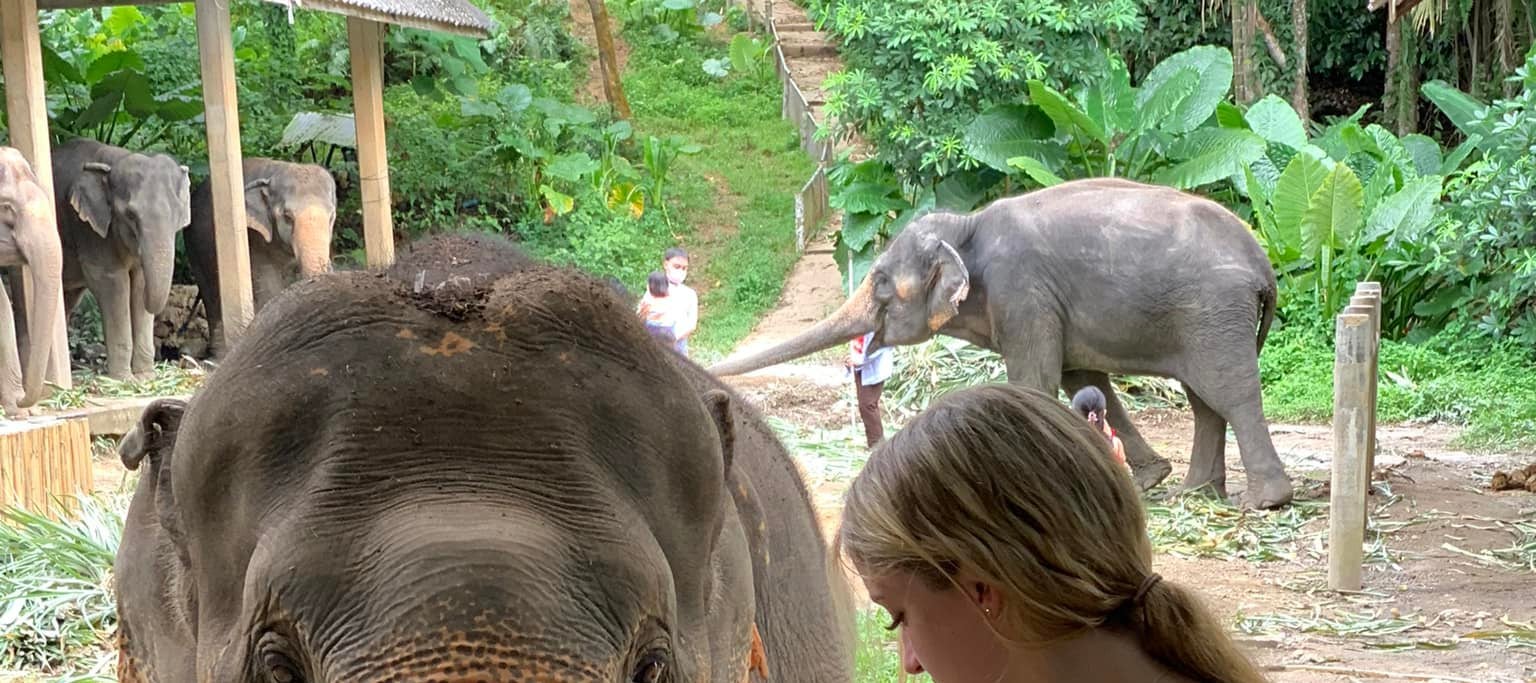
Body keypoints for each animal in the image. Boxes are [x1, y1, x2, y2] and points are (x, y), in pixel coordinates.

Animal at [49, 135, 190, 380]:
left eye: (177, 214)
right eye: (130, 215)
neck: (115, 160)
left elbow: (140, 282)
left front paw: (145, 377)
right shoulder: (89, 230)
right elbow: (114, 282)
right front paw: (124, 380)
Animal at [712, 178, 1290, 509]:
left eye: (880, 282)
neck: (966, 227)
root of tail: (1264, 265)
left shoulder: (1022, 290)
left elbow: (1037, 379)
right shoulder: (1048, 304)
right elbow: (1079, 377)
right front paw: (1146, 481)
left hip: (1214, 311)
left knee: (1230, 392)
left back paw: (1263, 503)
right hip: (1205, 319)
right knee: (1204, 399)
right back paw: (1196, 493)